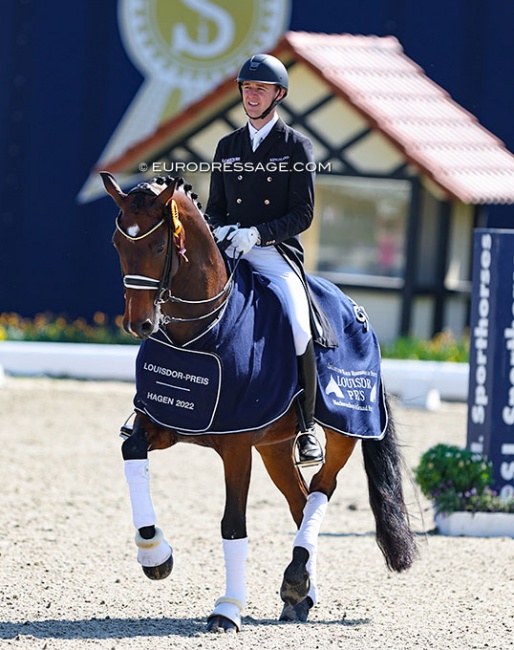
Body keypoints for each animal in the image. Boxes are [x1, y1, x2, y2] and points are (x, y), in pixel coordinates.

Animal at [100, 170, 416, 632]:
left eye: (159, 247)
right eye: (118, 245)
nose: (138, 324)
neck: (200, 329)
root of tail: (355, 309)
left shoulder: (236, 444)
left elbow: (233, 525)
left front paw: (227, 609)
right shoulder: (166, 421)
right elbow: (131, 452)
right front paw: (155, 554)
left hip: (345, 427)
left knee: (322, 489)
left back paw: (297, 579)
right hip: (275, 447)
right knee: (300, 502)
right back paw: (302, 593)